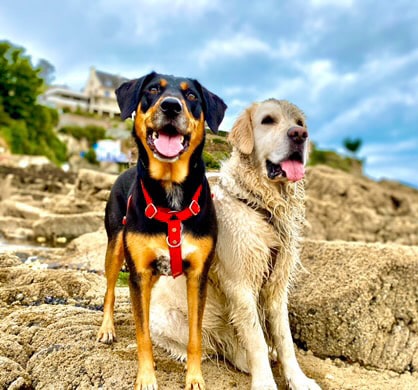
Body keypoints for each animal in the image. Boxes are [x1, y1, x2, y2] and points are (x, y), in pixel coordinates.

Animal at [96, 71, 227, 388]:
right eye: (153, 90)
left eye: (191, 96)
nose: (170, 106)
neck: (171, 193)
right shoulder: (139, 274)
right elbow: (142, 334)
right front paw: (146, 377)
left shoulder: (197, 275)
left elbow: (195, 334)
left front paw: (194, 377)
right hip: (115, 248)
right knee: (109, 290)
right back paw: (107, 328)